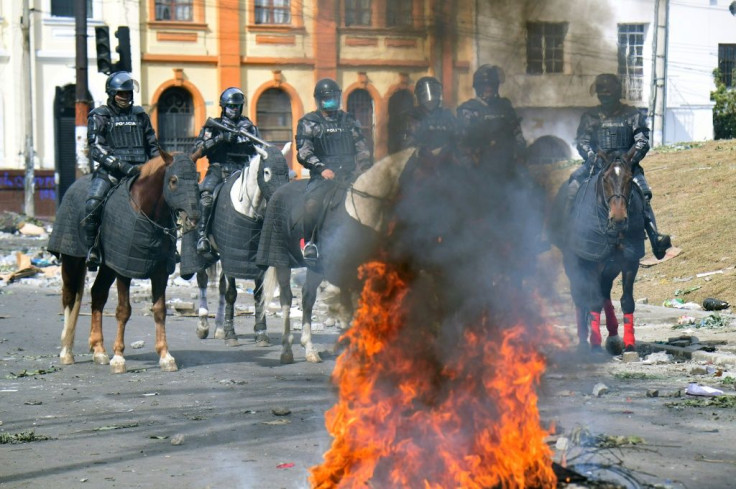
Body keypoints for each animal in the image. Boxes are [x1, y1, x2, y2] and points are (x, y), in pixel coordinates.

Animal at [48, 152, 200, 374]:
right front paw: (119, 358)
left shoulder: (159, 271)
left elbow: (160, 310)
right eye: (173, 180)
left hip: (107, 267)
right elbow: (123, 311)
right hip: (72, 260)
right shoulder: (124, 270)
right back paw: (67, 351)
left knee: (98, 294)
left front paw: (165, 356)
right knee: (69, 296)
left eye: (196, 179)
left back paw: (99, 350)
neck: (145, 211)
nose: (193, 218)